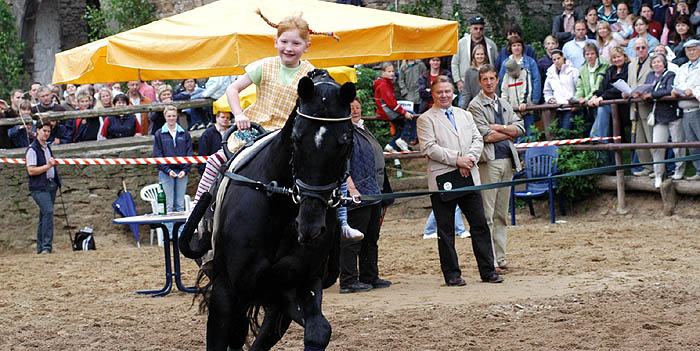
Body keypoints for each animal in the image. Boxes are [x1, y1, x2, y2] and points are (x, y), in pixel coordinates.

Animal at [180, 70, 356, 350]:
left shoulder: (299, 286)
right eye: (296, 138)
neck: (280, 208)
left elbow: (319, 331)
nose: (309, 225)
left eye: (345, 142)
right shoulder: (227, 291)